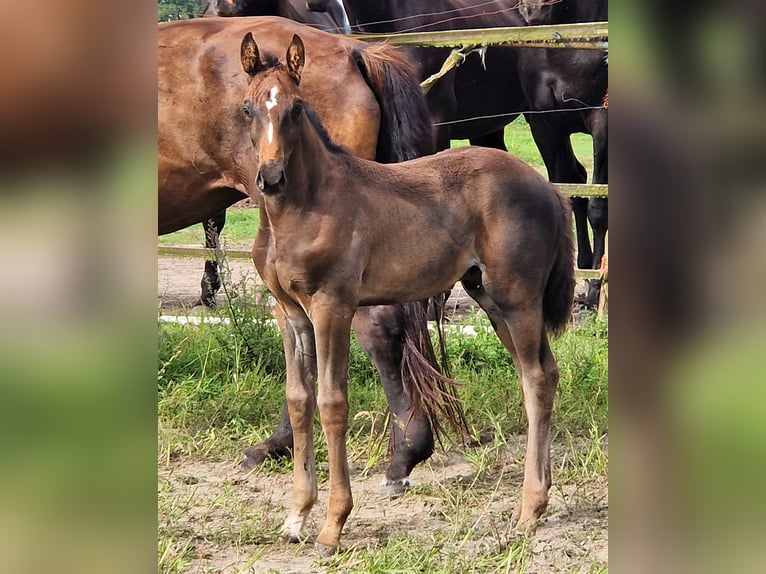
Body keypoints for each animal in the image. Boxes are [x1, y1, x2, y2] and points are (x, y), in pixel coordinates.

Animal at [243, 33, 580, 556]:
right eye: (247, 108)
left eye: (296, 107)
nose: (271, 177)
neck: (305, 205)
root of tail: (548, 187)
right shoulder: (290, 312)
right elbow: (299, 400)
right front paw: (296, 516)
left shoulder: (333, 306)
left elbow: (332, 403)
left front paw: (332, 526)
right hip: (489, 297)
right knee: (544, 372)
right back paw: (538, 502)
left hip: (517, 297)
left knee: (537, 379)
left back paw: (527, 512)